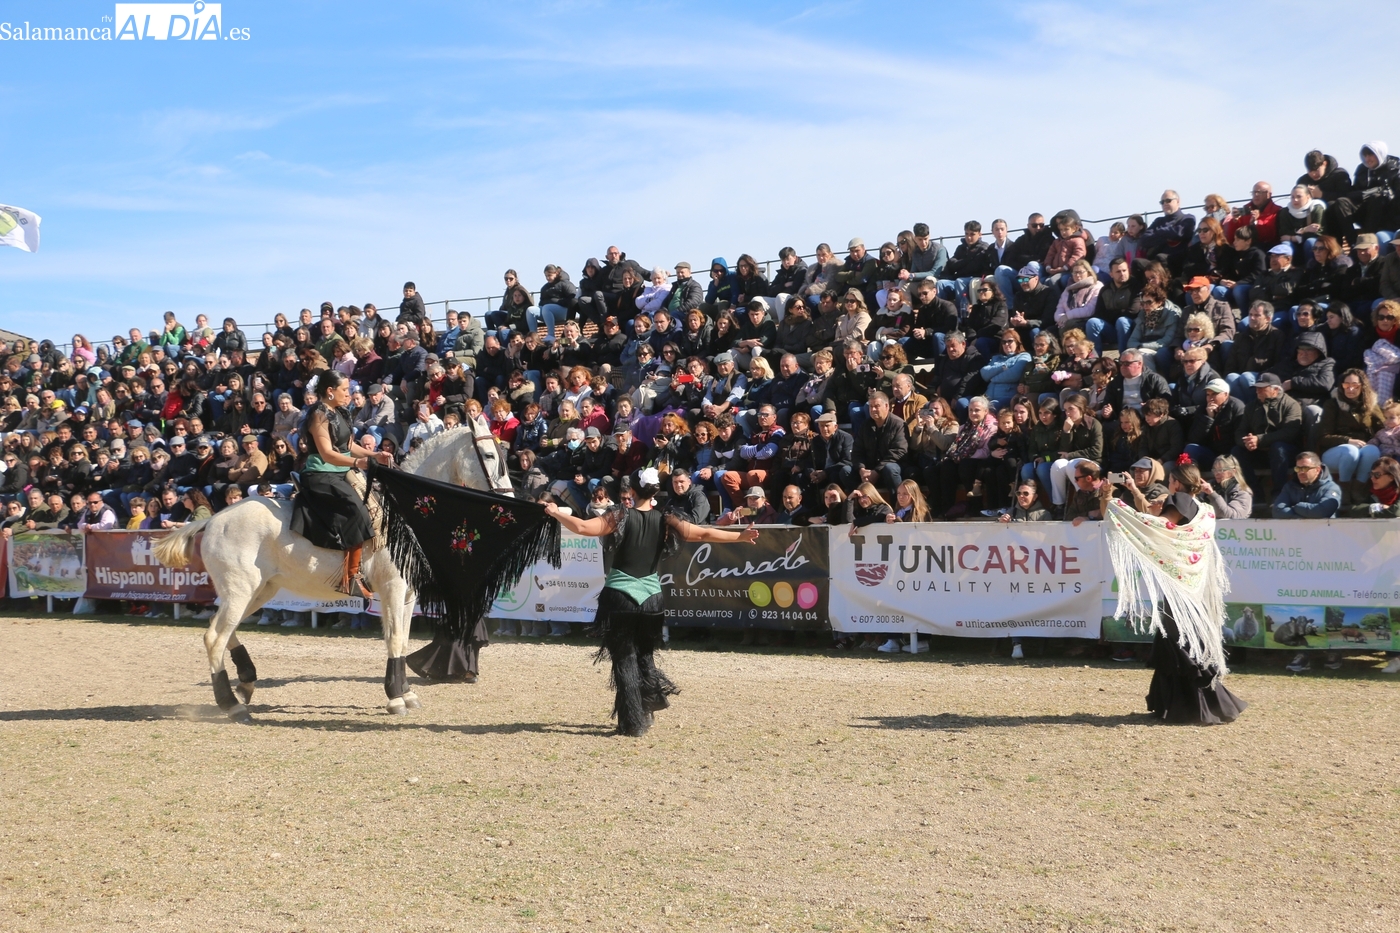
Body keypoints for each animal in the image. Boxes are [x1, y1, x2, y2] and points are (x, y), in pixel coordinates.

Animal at [154, 417, 513, 723]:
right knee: (215, 637)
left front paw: (406, 694)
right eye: (488, 455)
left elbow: (402, 641)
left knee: (221, 629)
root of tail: (214, 519)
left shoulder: (408, 594)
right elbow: (395, 639)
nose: (510, 497)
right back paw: (231, 704)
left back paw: (245, 682)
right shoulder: (393, 589)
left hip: (258, 591)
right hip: (241, 591)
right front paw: (396, 697)